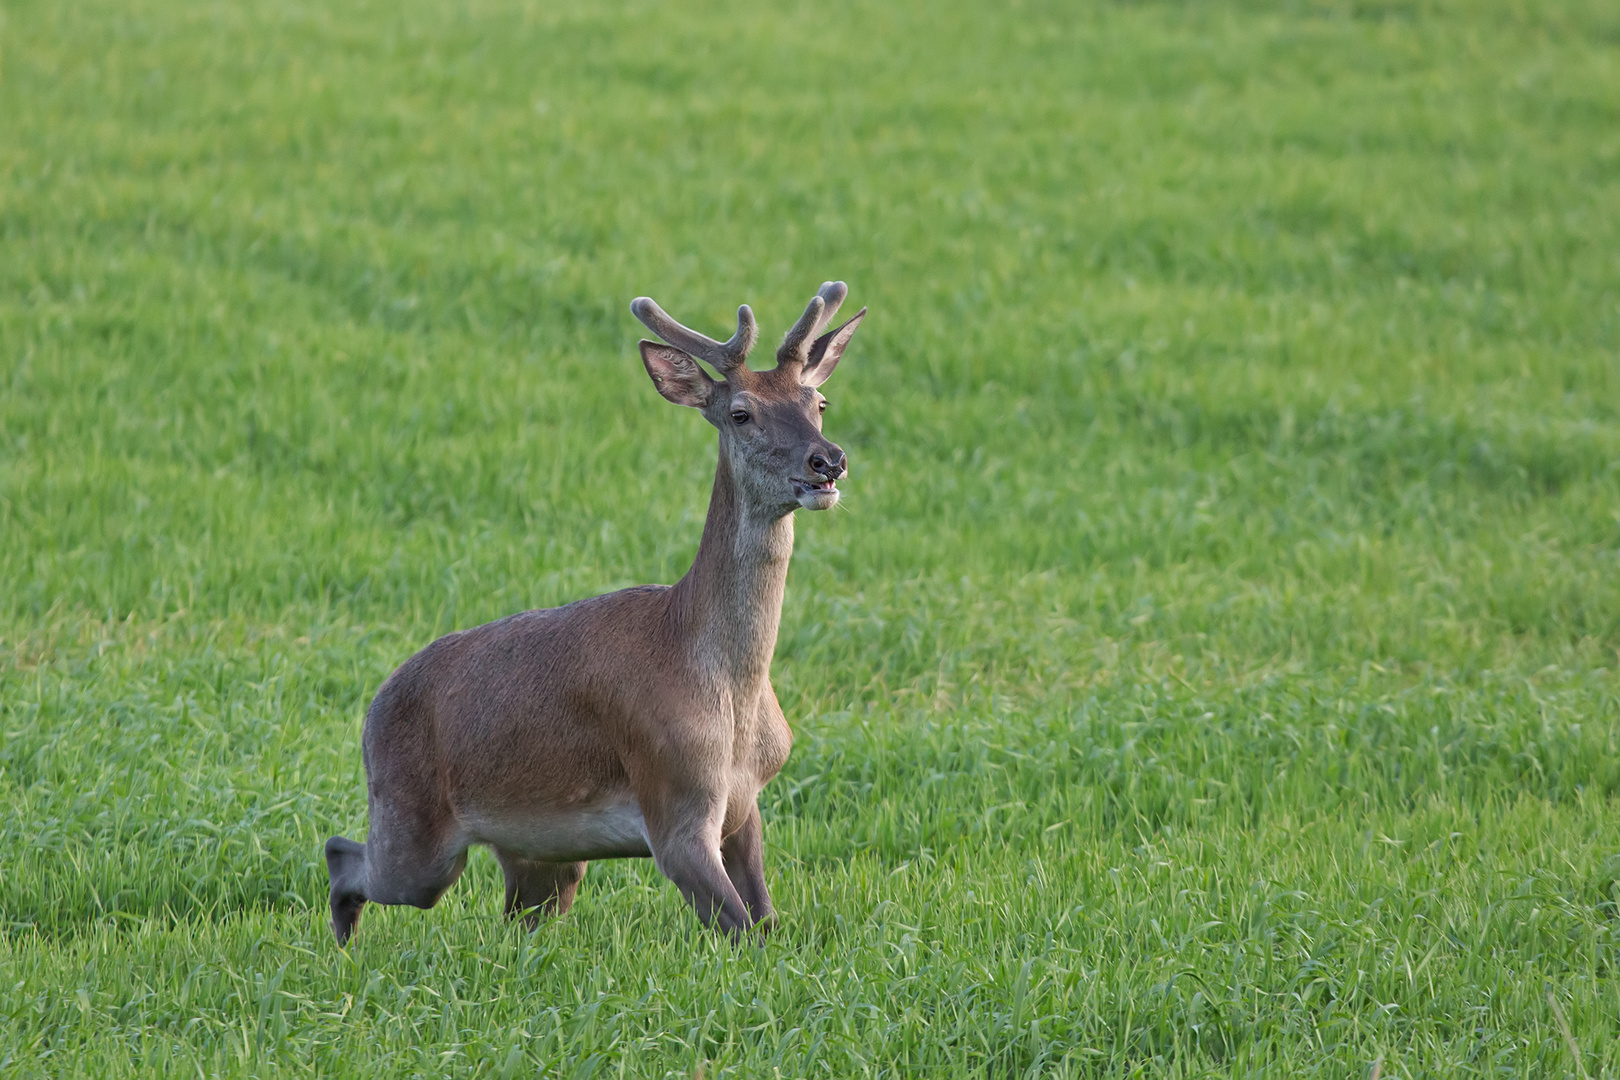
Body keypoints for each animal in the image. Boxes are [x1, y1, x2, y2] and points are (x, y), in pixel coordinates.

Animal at [320, 281, 868, 945]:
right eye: (741, 413)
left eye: (819, 401)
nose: (828, 461)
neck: (727, 690)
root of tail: (374, 705)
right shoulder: (673, 799)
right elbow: (743, 931)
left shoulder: (745, 805)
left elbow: (767, 923)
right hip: (413, 823)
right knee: (343, 854)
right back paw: (342, 945)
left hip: (542, 858)